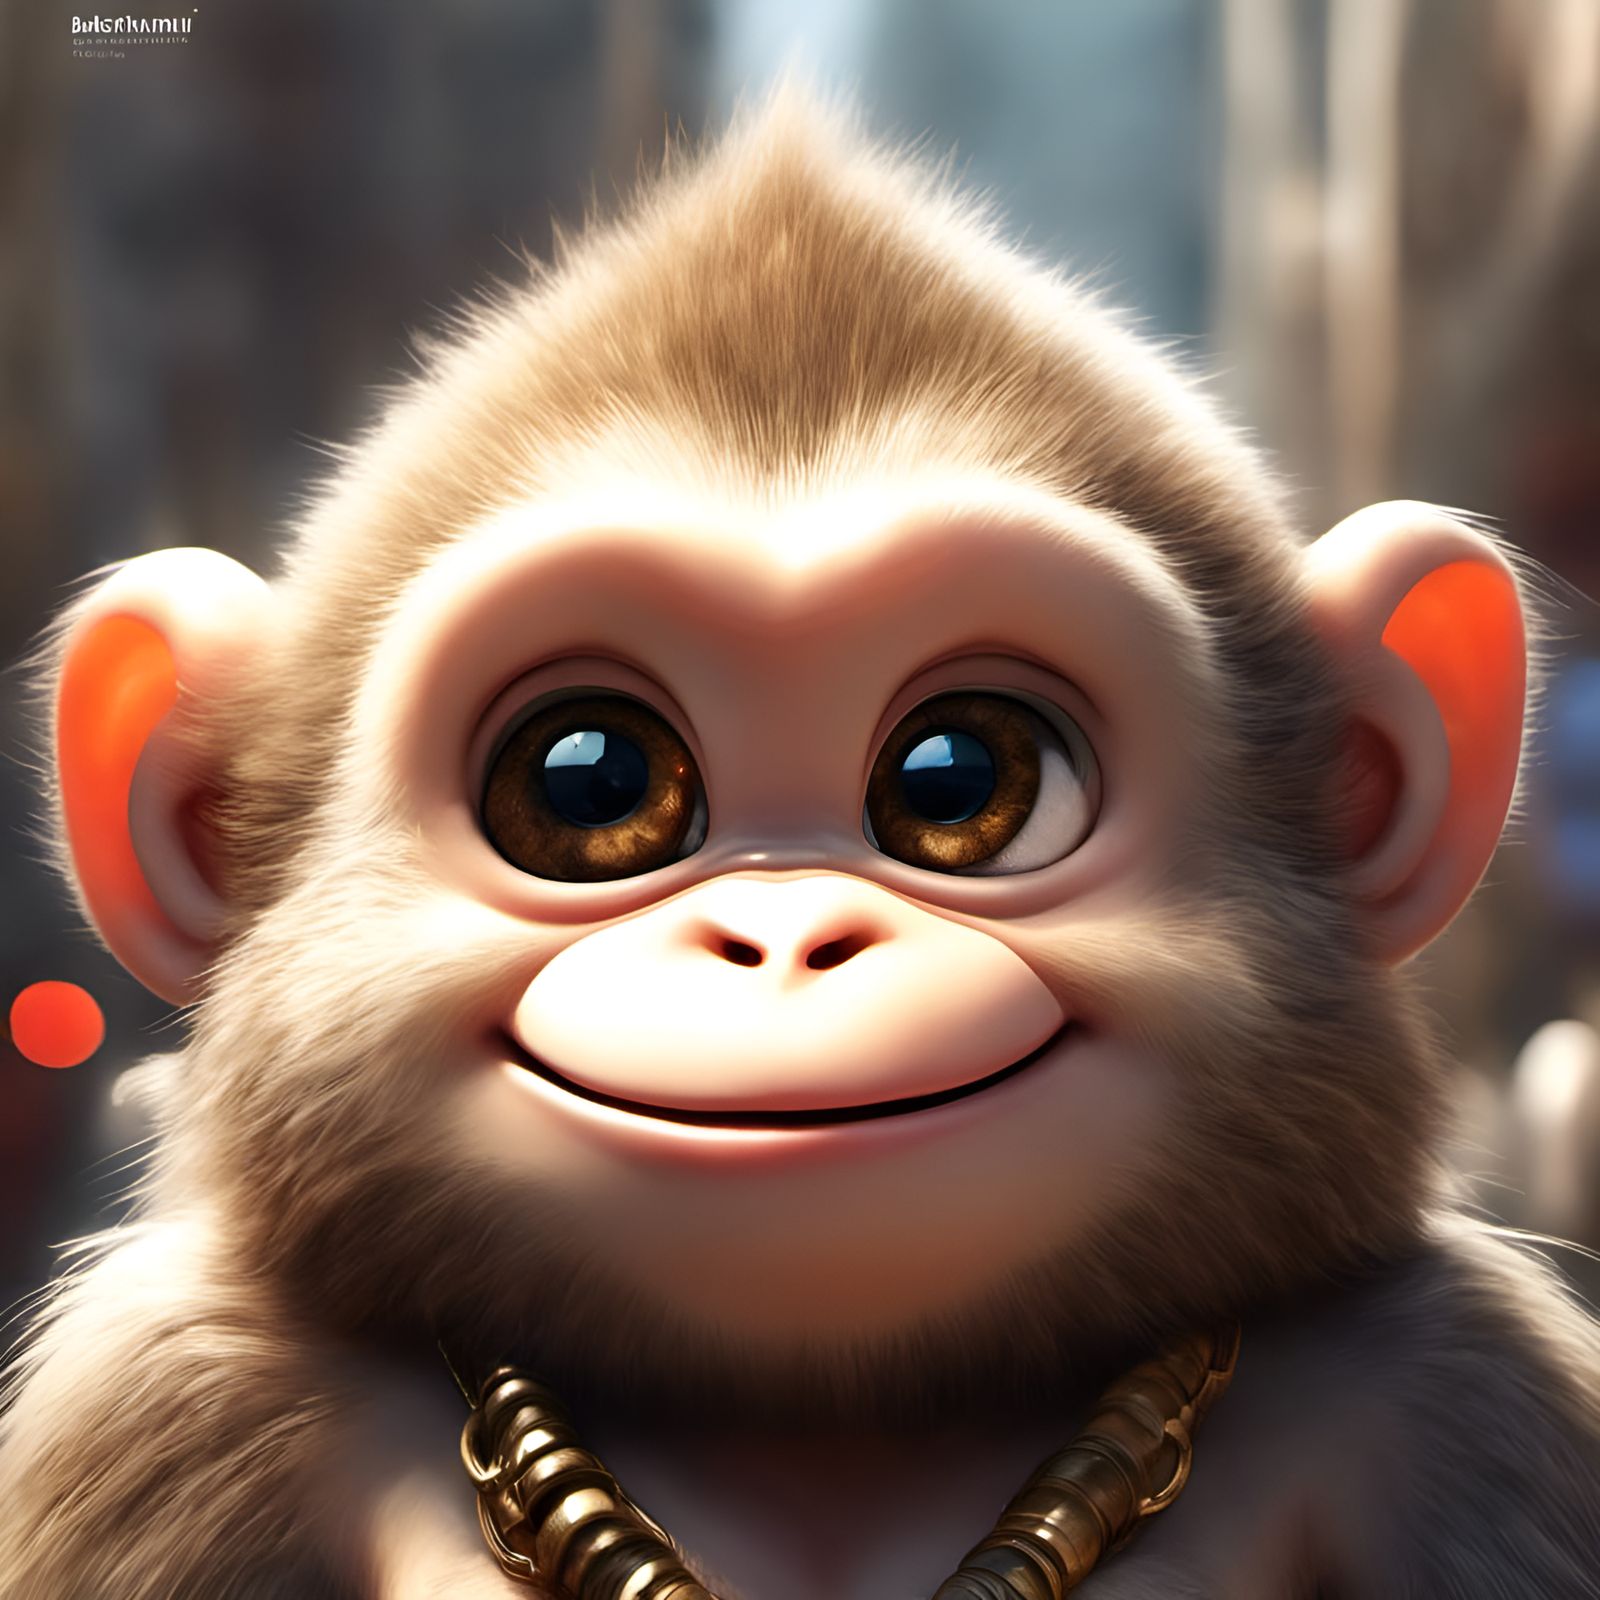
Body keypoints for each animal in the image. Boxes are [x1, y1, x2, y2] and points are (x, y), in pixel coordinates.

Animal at [2, 89, 1597, 1600]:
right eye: (587, 783)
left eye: (959, 779)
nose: (784, 938)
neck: (827, 1419)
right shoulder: (179, 1397)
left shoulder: (1457, 1384)